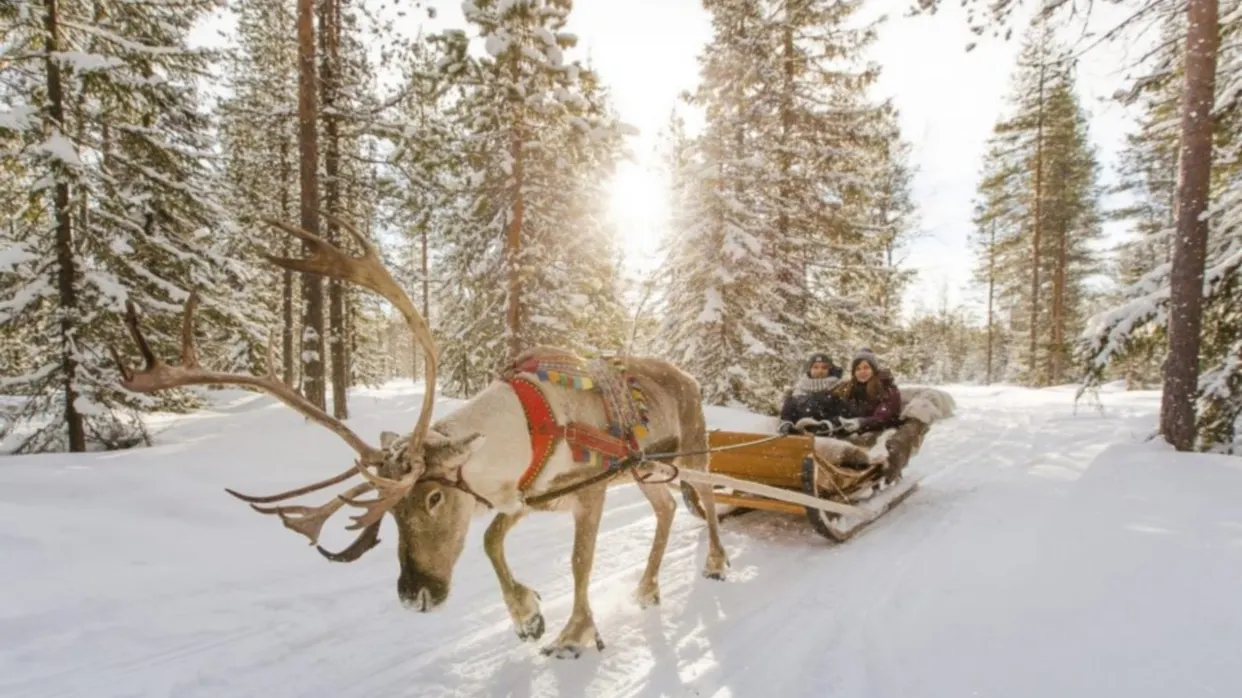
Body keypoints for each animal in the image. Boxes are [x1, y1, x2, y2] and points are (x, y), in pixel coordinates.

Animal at [113, 214, 731, 659]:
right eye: (388, 512)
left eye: (432, 496)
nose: (416, 597)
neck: (530, 429)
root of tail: (690, 374)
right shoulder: (526, 494)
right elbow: (490, 541)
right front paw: (527, 614)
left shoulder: (588, 489)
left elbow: (579, 563)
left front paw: (575, 634)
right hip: (649, 470)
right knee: (667, 510)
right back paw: (648, 587)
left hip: (694, 448)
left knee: (707, 500)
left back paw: (716, 563)